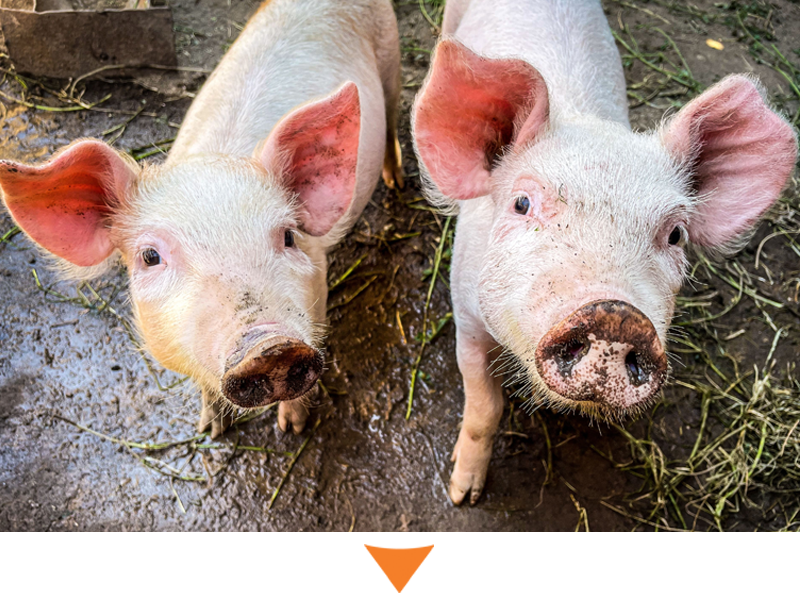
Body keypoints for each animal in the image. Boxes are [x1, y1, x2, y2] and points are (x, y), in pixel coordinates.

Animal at [0, 0, 403, 438]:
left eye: (288, 236)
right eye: (150, 257)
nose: (271, 348)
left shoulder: (318, 301)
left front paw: (293, 428)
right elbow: (205, 387)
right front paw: (210, 430)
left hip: (391, 58)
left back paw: (396, 180)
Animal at [412, 0, 797, 505]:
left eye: (676, 234)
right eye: (522, 204)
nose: (615, 316)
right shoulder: (465, 312)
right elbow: (483, 403)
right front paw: (462, 495)